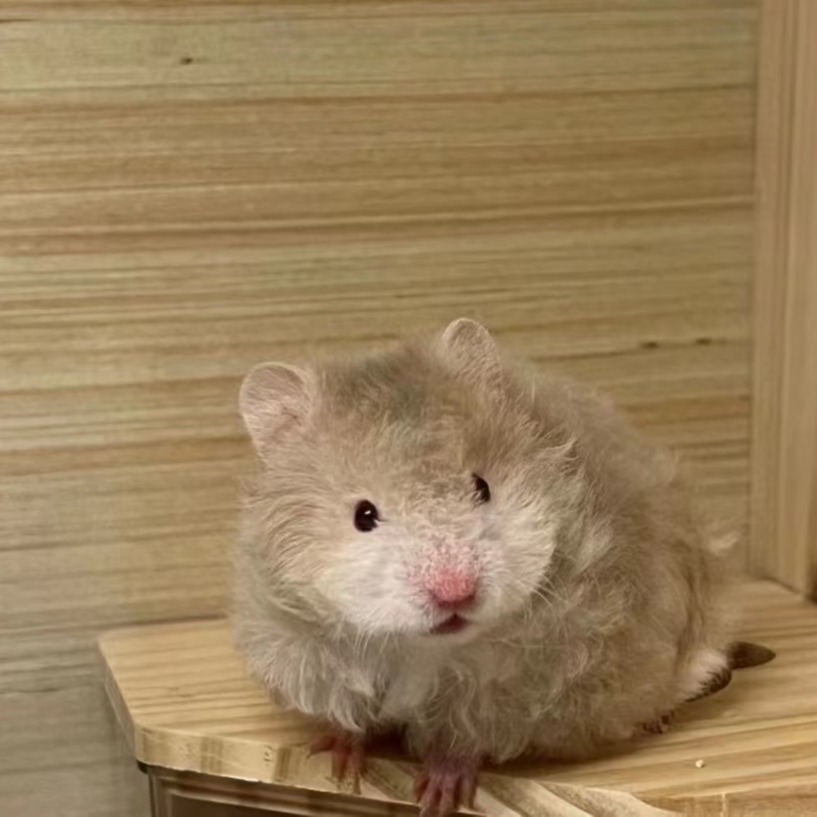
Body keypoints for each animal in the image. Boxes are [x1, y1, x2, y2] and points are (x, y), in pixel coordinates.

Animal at [234, 319, 772, 817]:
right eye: (363, 515)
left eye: (482, 486)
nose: (455, 593)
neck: (425, 648)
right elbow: (352, 720)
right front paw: (333, 763)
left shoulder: (511, 693)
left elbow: (464, 740)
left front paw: (438, 796)